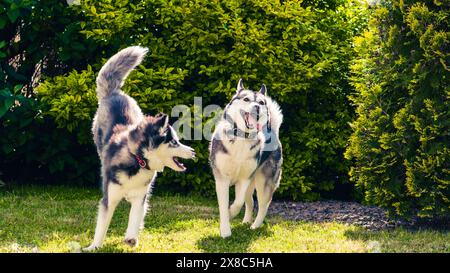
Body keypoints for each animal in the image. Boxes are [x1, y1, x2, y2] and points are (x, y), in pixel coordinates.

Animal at [84, 45, 195, 250]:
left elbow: (135, 218)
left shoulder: (140, 197)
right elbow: (102, 226)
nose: (193, 151)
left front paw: (131, 238)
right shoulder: (109, 198)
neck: (138, 159)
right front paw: (94, 246)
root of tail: (115, 93)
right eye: (174, 142)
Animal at [209, 78, 284, 236]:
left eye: (261, 102)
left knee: (263, 206)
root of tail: (272, 130)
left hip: (263, 183)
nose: (257, 107)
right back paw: (246, 221)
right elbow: (225, 205)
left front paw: (231, 213)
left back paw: (255, 226)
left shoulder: (244, 179)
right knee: (251, 202)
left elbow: (237, 203)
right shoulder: (222, 179)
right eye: (246, 99)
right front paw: (225, 231)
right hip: (251, 185)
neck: (242, 137)